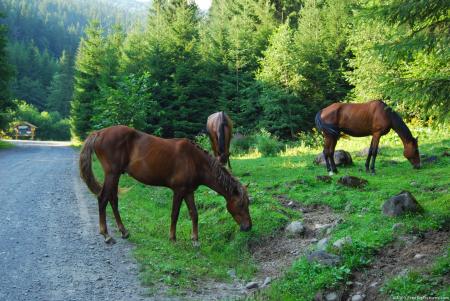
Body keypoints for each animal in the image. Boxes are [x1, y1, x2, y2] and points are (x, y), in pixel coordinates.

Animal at [78, 124, 251, 244]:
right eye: (241, 204)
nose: (248, 227)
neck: (195, 161)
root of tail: (99, 133)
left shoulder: (189, 191)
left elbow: (194, 213)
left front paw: (195, 239)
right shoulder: (179, 191)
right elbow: (175, 214)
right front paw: (172, 238)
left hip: (115, 175)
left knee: (113, 199)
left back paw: (124, 231)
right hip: (112, 174)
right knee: (103, 199)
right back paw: (106, 235)